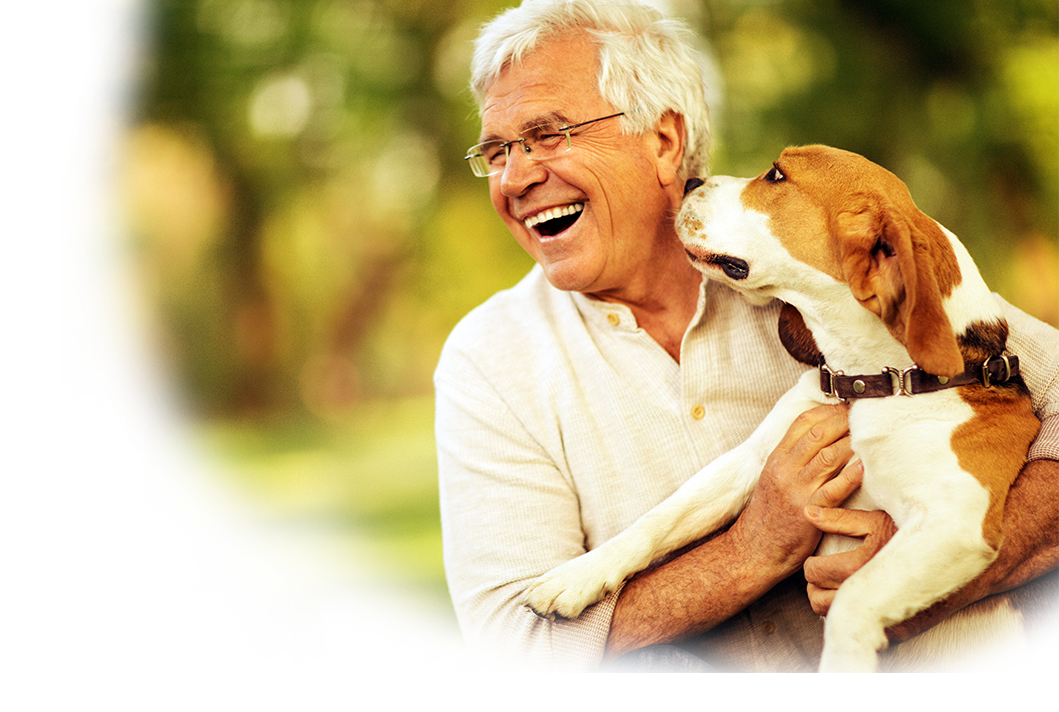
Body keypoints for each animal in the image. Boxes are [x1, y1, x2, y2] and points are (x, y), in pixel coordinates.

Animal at [521, 146, 1050, 673]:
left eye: (776, 175)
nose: (690, 183)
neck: (872, 385)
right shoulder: (756, 459)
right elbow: (661, 518)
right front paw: (576, 577)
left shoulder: (957, 518)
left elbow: (853, 594)